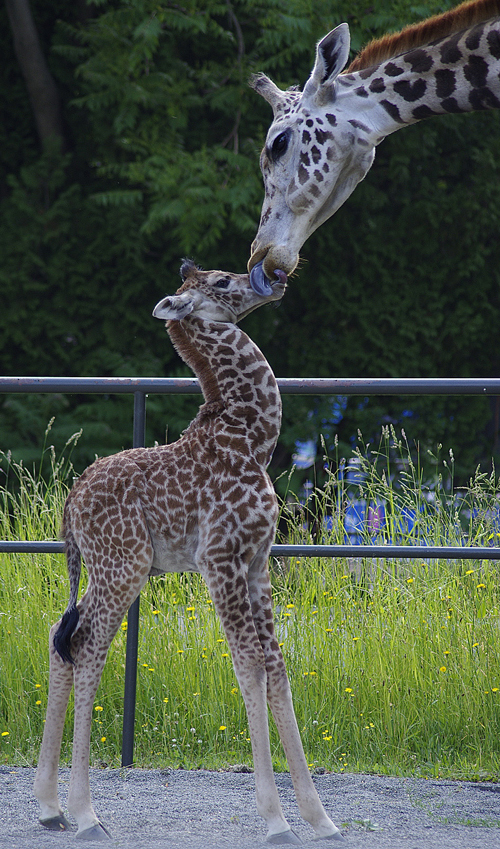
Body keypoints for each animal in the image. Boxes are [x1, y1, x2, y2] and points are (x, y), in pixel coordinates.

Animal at [33, 260, 342, 840]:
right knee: (85, 645)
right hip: (124, 567)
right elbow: (249, 665)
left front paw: (320, 817)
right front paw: (275, 819)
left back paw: (50, 807)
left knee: (61, 636)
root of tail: (70, 504)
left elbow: (277, 666)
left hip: (105, 569)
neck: (253, 438)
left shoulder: (258, 562)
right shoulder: (219, 559)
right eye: (221, 281)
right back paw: (86, 814)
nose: (272, 278)